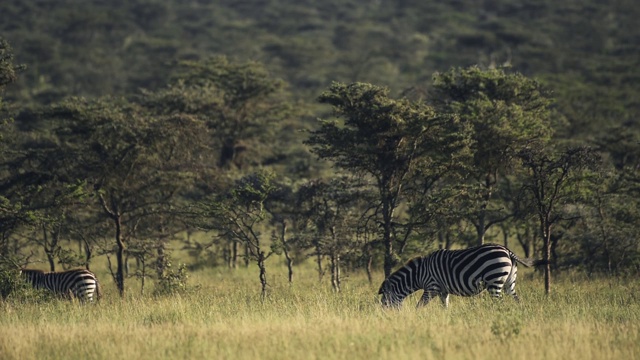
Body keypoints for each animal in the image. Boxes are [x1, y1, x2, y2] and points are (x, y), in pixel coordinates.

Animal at [378, 243, 544, 308]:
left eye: (384, 303)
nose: (386, 318)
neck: (419, 274)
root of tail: (508, 250)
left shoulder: (432, 287)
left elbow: (419, 306)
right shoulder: (443, 291)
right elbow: (445, 307)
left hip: (494, 280)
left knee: (499, 303)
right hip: (509, 282)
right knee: (517, 300)